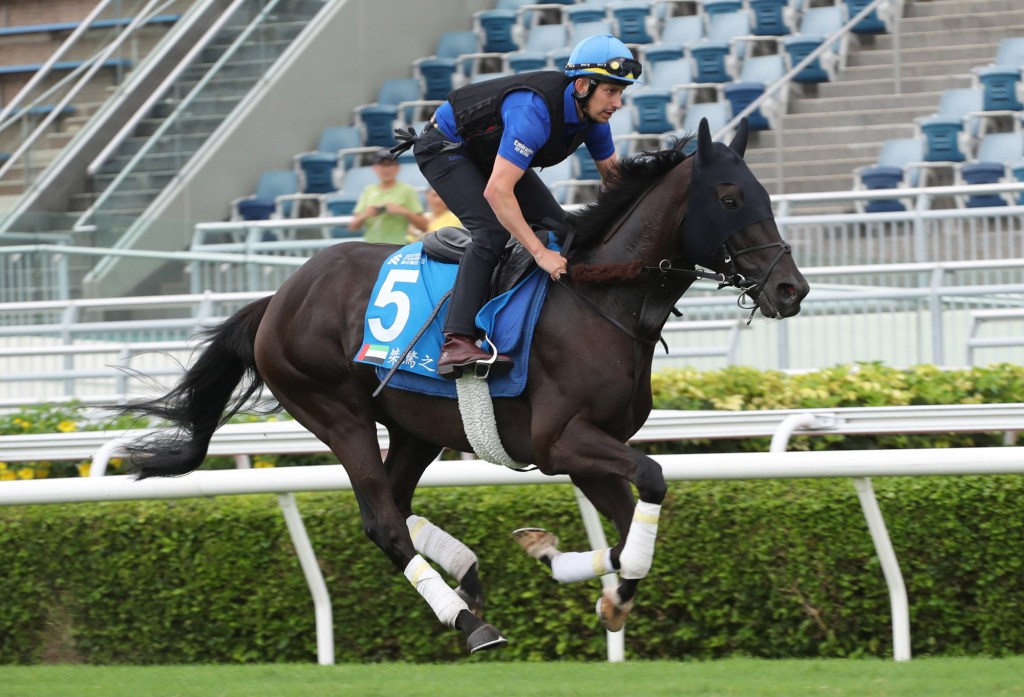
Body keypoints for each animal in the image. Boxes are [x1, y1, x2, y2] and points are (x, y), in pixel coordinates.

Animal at [123, 118, 809, 655]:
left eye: (764, 194)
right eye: (729, 198)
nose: (790, 289)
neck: (602, 298)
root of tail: (278, 297)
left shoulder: (584, 449)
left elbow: (623, 535)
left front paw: (575, 572)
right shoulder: (561, 441)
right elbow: (653, 481)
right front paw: (595, 586)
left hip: (415, 427)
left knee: (397, 504)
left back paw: (469, 576)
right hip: (336, 412)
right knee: (382, 521)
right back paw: (468, 622)